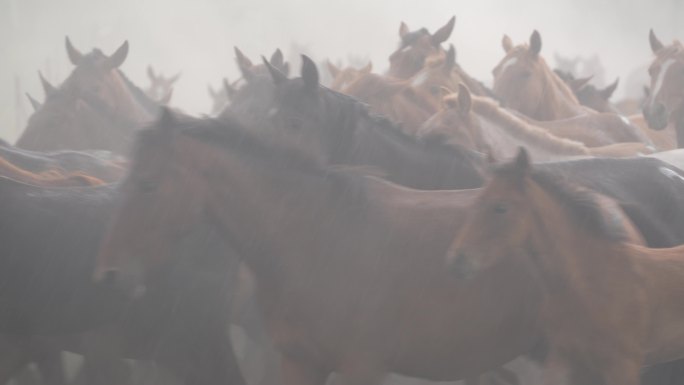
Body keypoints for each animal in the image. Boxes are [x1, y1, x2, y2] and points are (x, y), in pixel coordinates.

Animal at [446, 148, 684, 384]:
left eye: (501, 207)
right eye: (476, 202)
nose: (457, 261)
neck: (592, 282)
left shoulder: (624, 365)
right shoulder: (564, 355)